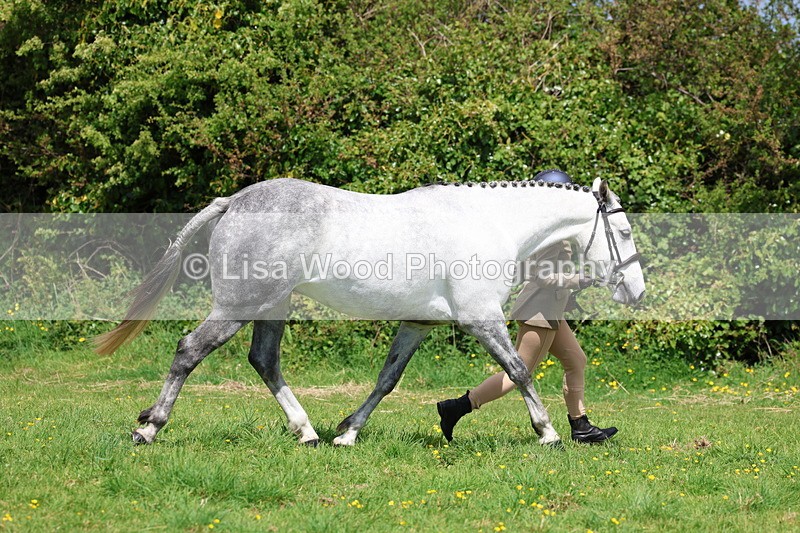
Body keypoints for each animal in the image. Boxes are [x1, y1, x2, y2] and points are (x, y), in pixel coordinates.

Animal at [95, 177, 645, 448]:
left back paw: (308, 433)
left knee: (264, 361)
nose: (635, 292)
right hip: (239, 304)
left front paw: (348, 433)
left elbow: (386, 380)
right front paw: (548, 433)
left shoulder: (416, 324)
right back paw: (148, 428)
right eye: (622, 233)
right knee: (190, 350)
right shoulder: (480, 318)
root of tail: (233, 202)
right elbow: (519, 370)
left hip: (272, 305)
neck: (487, 224)